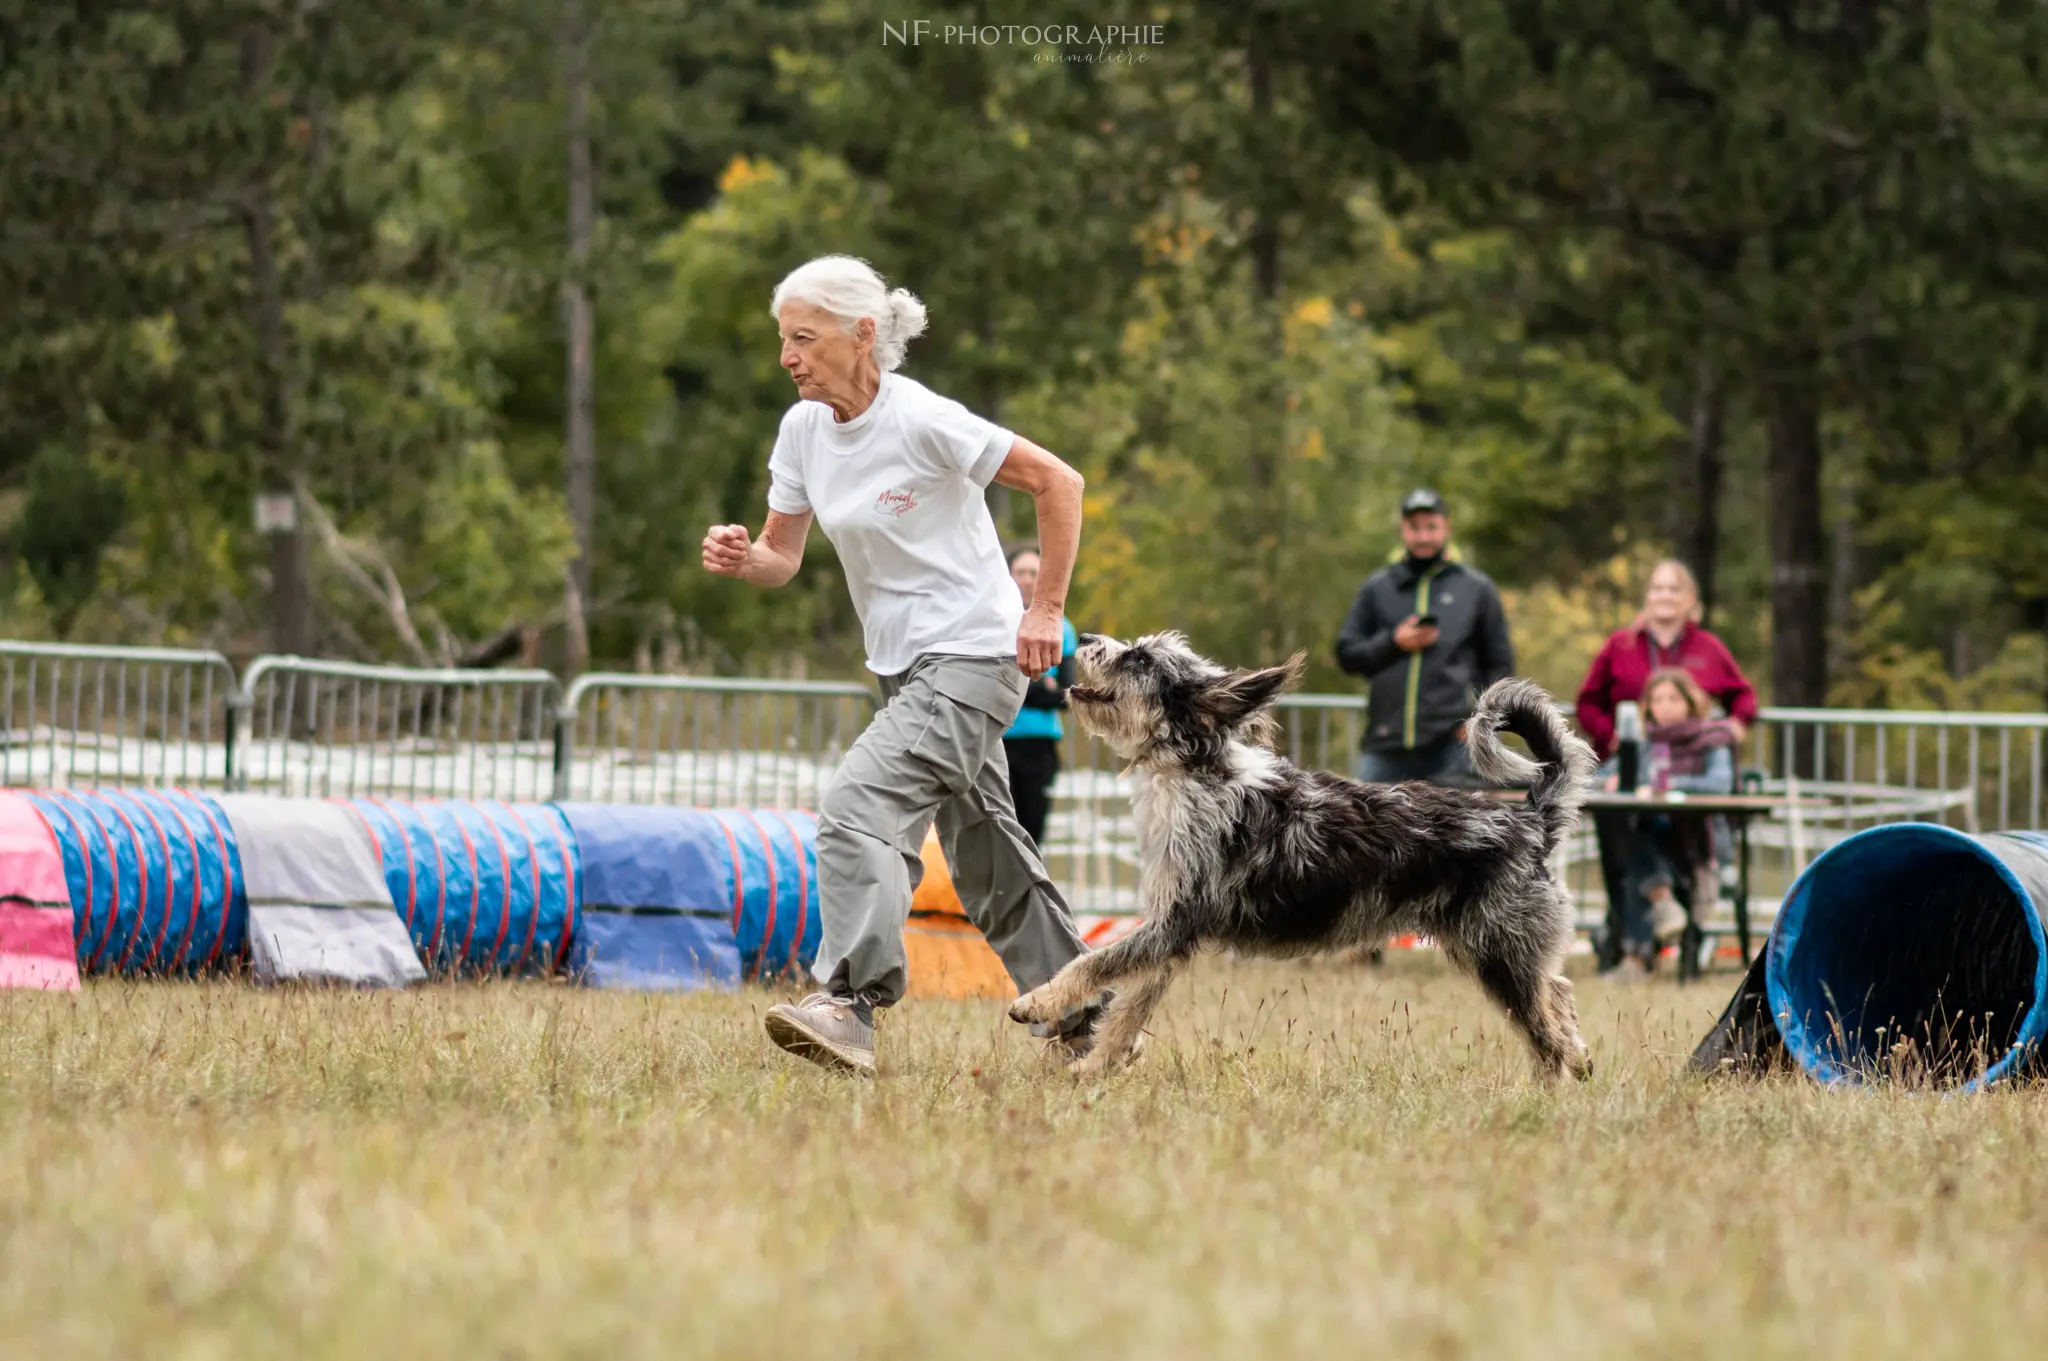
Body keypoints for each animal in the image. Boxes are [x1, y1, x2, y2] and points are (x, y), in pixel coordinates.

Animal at [1011, 630, 1597, 1080]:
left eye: (1139, 659)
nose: (1085, 638)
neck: (1195, 771)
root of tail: (1532, 820)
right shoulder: (1167, 935)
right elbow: (1127, 1011)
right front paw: (1093, 1068)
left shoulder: (1171, 925)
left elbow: (1093, 964)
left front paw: (1036, 1002)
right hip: (1511, 951)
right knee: (1559, 991)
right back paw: (1581, 1059)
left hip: (1501, 956)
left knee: (1546, 1036)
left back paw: (1547, 1093)